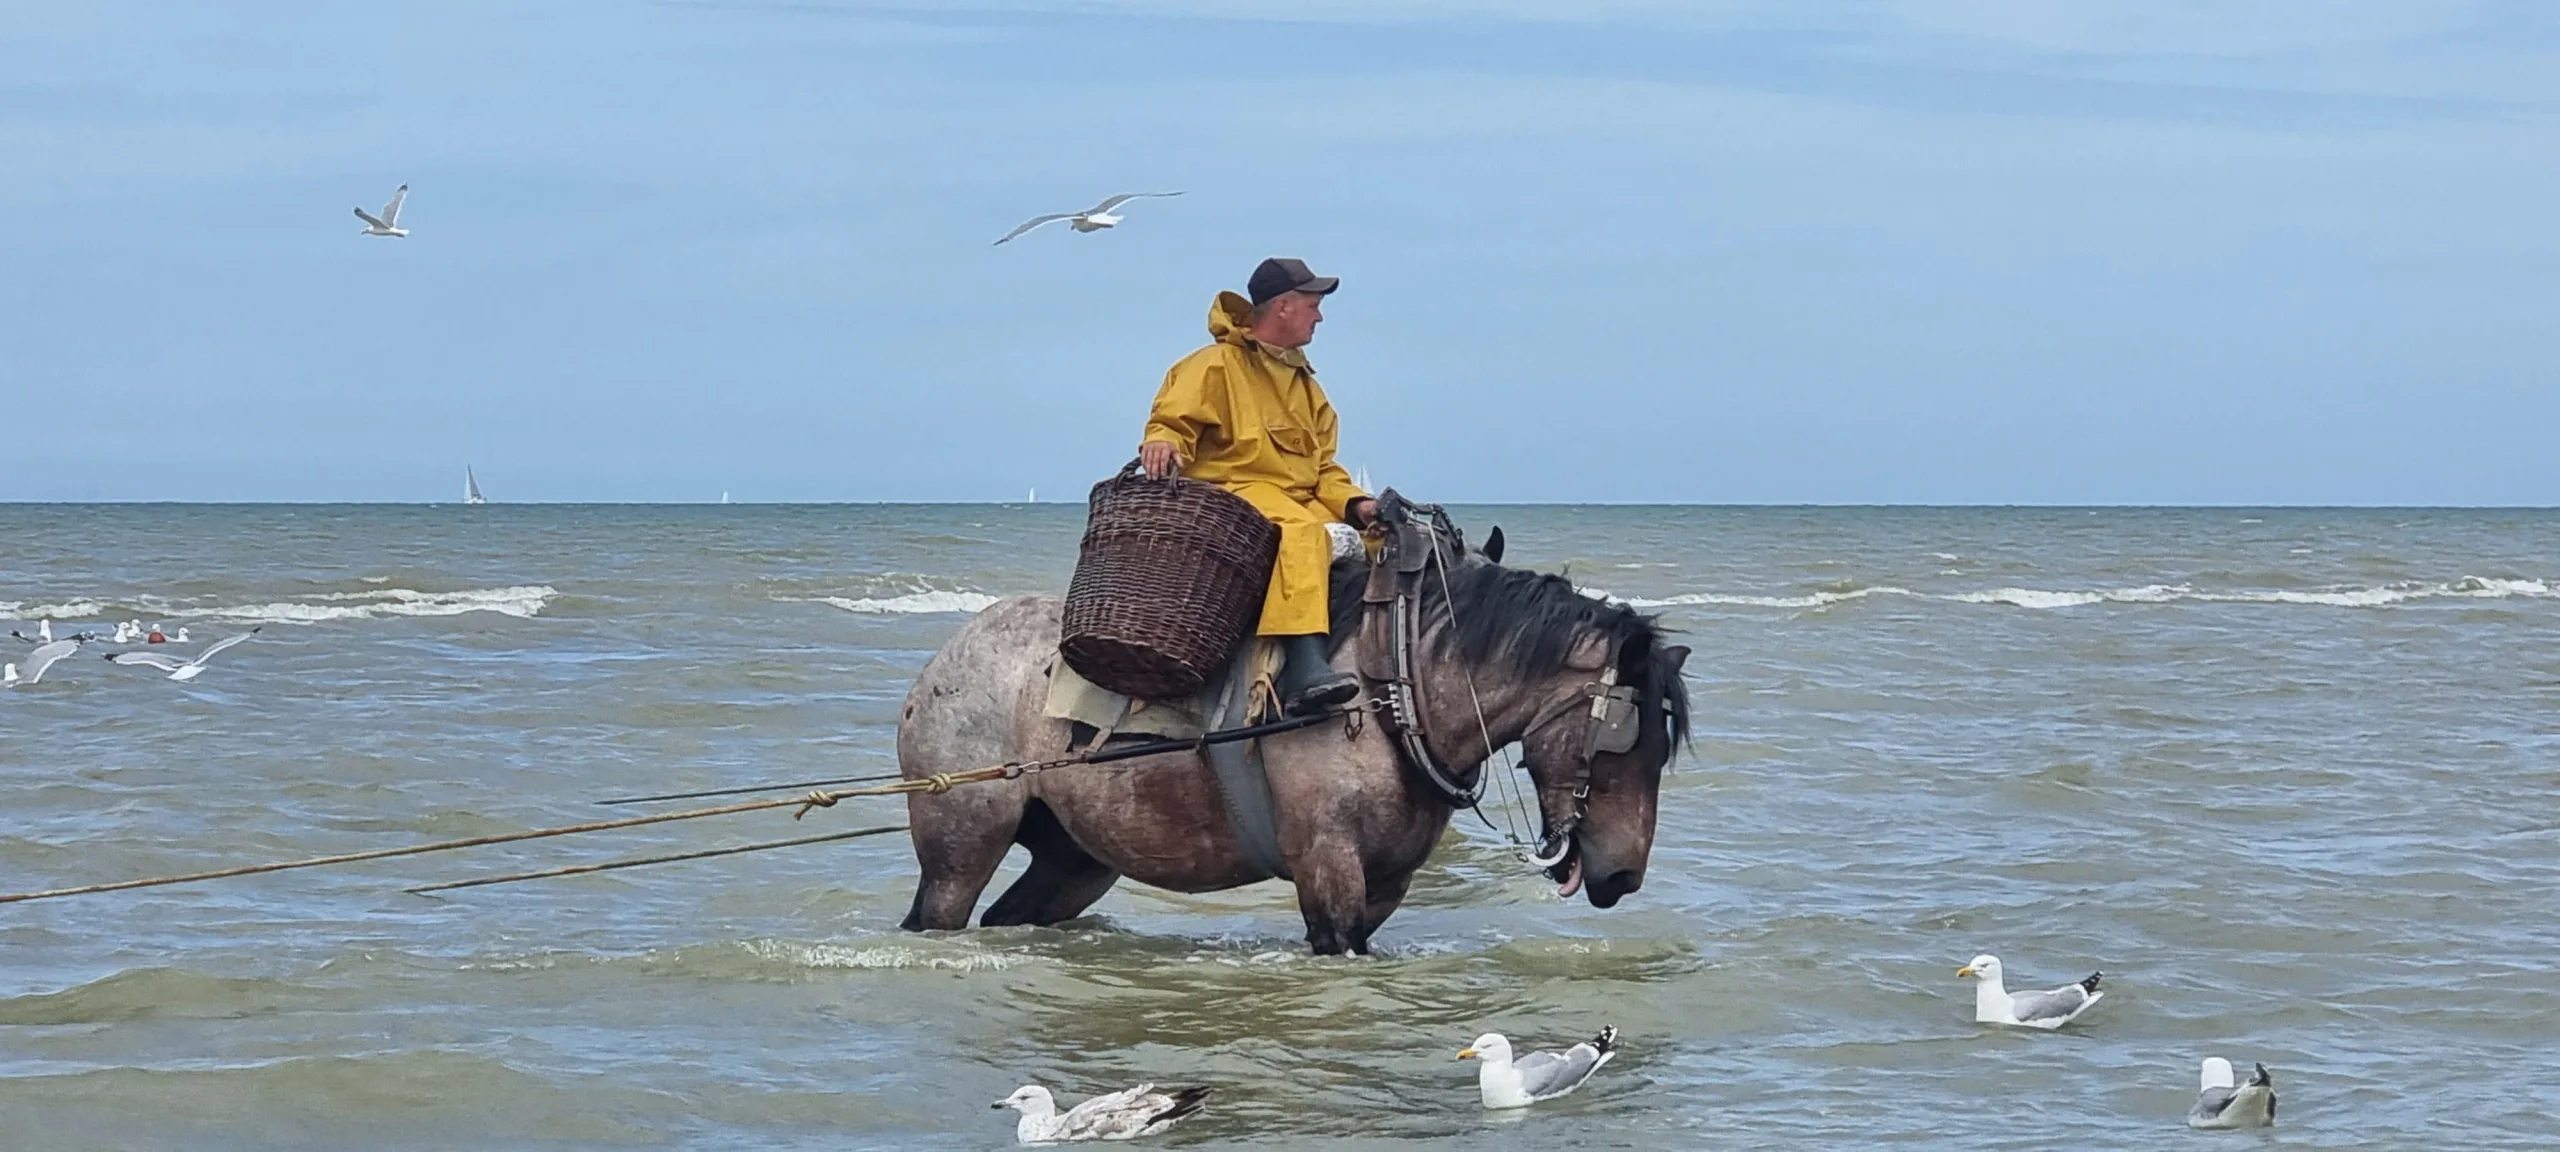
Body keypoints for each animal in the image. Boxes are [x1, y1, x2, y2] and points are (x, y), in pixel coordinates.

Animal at [894, 526, 1691, 955]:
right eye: (1620, 741)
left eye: (1660, 751)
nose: (1624, 875)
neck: (1391, 690)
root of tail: (945, 657)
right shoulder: (1327, 868)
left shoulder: (1387, 884)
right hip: (960, 847)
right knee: (938, 914)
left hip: (1075, 860)